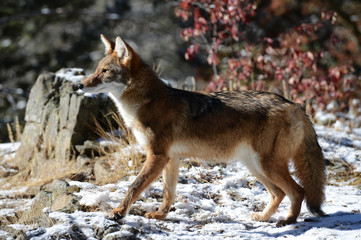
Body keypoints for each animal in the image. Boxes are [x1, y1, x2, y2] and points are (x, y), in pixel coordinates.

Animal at [77, 34, 324, 226]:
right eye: (96, 70)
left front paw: (118, 213)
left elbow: (133, 186)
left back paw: (288, 221)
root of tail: (294, 105)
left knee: (298, 191)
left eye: (105, 71)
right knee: (280, 193)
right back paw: (263, 218)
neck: (144, 103)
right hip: (255, 166)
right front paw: (160, 215)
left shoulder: (157, 156)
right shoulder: (170, 158)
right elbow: (168, 194)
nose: (80, 84)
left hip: (266, 165)